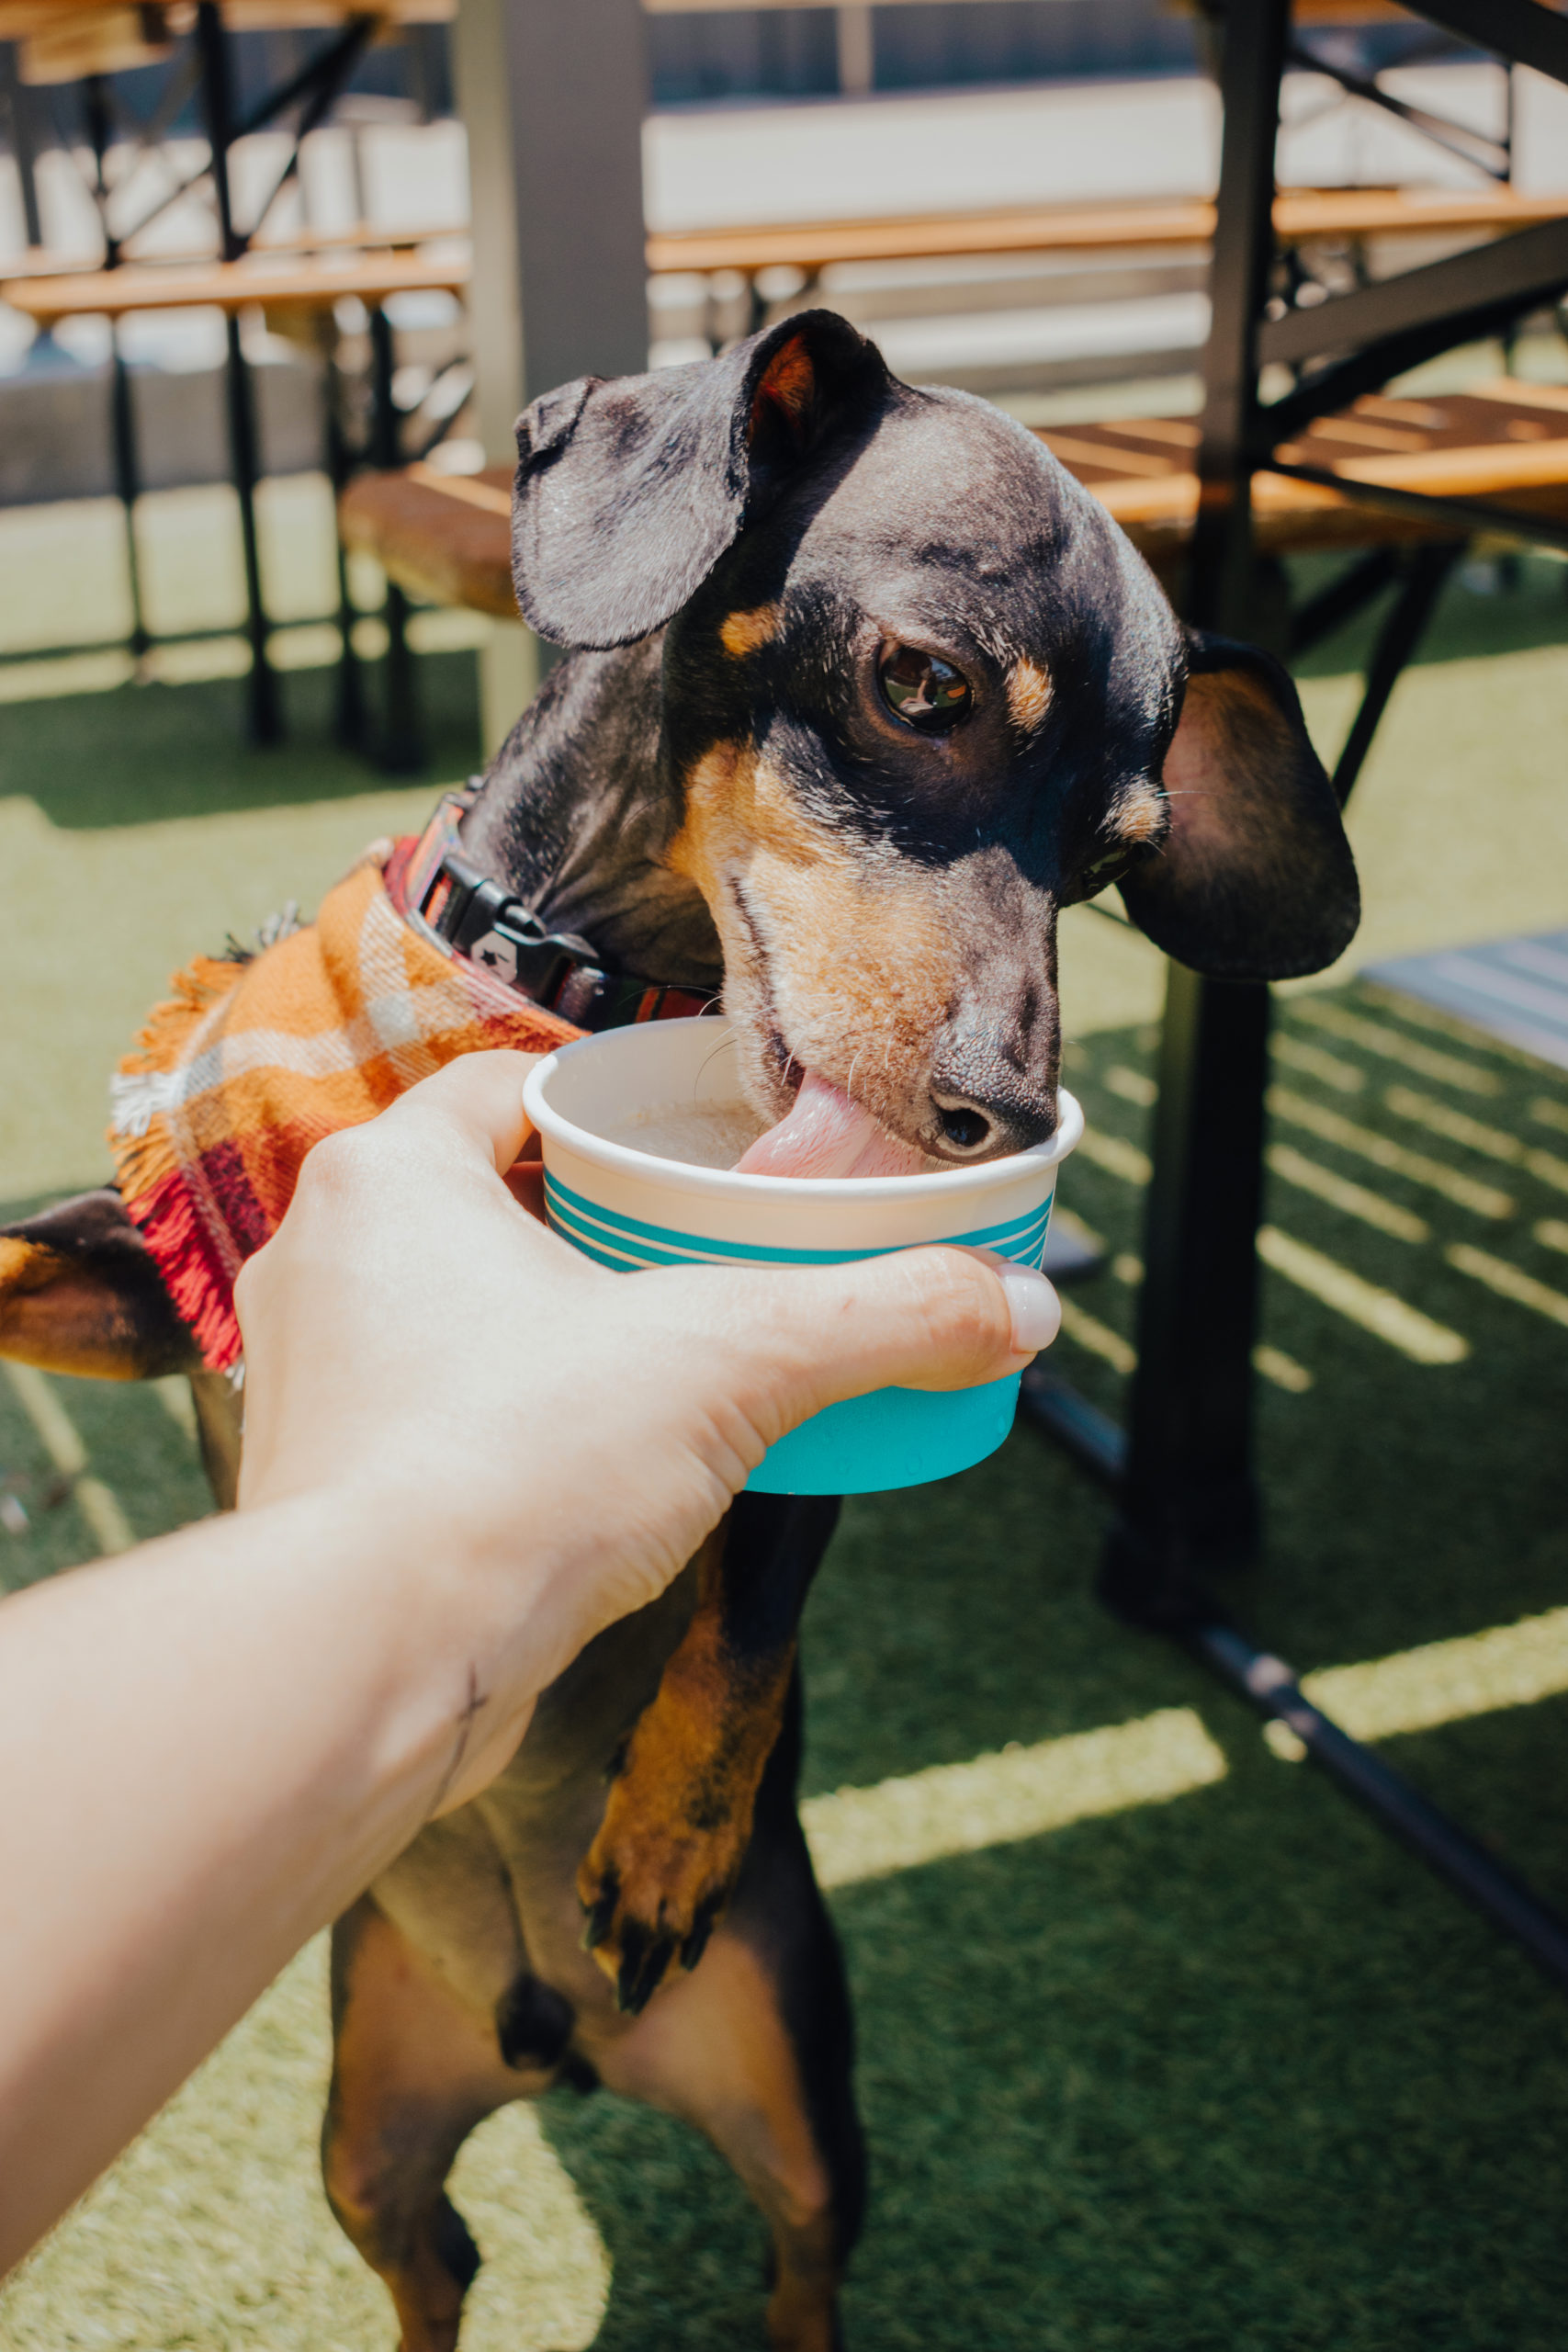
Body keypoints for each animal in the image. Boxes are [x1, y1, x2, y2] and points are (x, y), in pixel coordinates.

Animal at [0, 317, 1354, 2352]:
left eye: (1116, 858)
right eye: (923, 683)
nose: (999, 1107)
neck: (576, 974)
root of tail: (547, 2044)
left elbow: (755, 1601)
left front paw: (662, 1838)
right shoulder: (153, 1301)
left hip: (796, 2104)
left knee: (795, 2265)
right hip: (364, 2136)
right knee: (434, 2269)